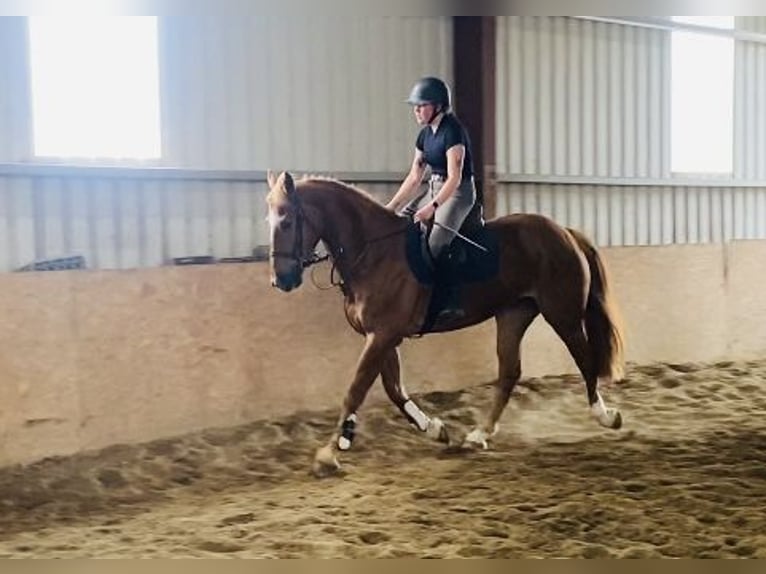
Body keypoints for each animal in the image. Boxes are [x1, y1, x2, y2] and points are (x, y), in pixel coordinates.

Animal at [268, 172, 628, 482]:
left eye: (286, 220)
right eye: (269, 220)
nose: (281, 280)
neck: (373, 252)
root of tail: (564, 231)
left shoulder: (382, 335)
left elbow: (356, 389)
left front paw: (330, 453)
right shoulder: (382, 336)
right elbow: (394, 390)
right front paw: (434, 429)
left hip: (563, 314)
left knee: (585, 359)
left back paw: (605, 415)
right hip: (513, 315)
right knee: (510, 372)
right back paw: (479, 435)